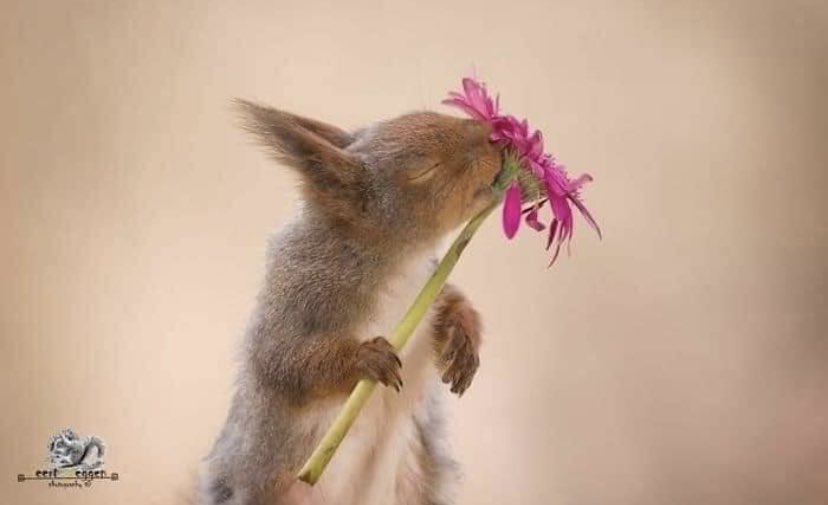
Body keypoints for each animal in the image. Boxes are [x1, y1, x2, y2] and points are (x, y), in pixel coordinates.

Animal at [199, 100, 502, 505]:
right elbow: (287, 362)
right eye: (424, 168)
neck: (395, 260)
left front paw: (464, 341)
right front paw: (366, 358)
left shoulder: (429, 288)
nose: (495, 136)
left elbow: (455, 301)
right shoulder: (299, 299)